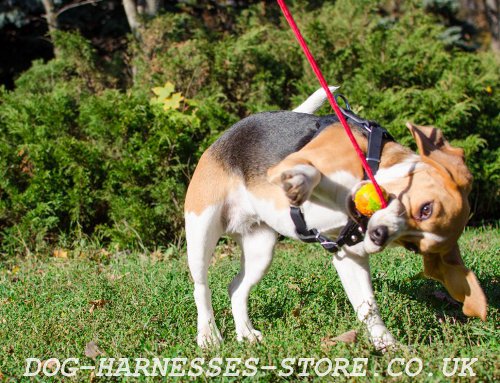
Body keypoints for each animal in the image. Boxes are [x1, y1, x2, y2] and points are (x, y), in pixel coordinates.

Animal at [186, 87, 486, 352]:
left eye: (413, 246)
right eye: (426, 209)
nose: (378, 236)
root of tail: (226, 134)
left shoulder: (350, 256)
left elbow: (368, 308)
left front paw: (388, 346)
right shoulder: (292, 163)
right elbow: (310, 171)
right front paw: (301, 182)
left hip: (261, 251)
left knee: (236, 288)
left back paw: (246, 333)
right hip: (201, 229)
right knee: (201, 288)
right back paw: (208, 335)